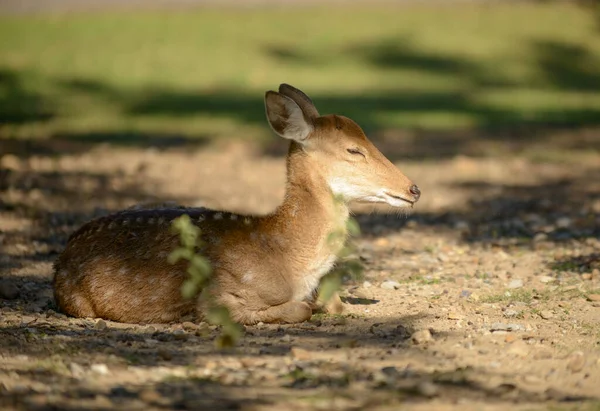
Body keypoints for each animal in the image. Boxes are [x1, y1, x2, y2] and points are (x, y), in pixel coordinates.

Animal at [52, 83, 422, 326]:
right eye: (353, 150)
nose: (414, 188)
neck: (290, 262)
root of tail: (62, 256)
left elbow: (335, 304)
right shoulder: (217, 296)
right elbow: (299, 309)